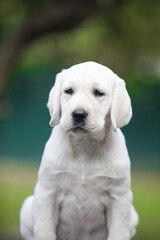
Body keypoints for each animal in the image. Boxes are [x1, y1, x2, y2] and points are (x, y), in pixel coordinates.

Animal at [20, 61, 138, 240]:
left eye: (99, 93)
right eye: (69, 91)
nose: (78, 114)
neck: (85, 144)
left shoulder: (120, 197)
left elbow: (118, 232)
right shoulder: (47, 191)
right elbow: (44, 230)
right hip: (28, 207)